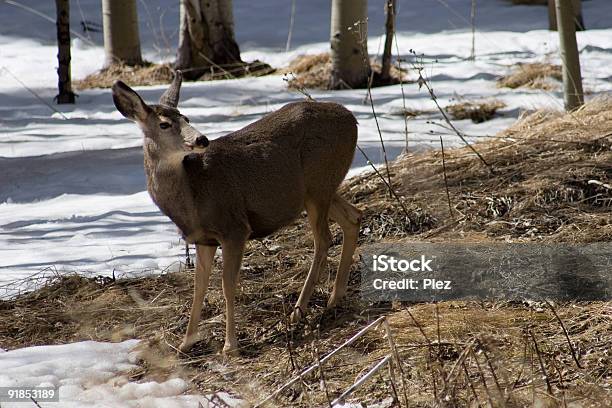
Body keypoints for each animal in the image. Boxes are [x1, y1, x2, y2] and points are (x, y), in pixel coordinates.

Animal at [112, 71, 360, 356]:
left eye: (186, 118)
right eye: (164, 124)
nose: (201, 140)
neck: (193, 198)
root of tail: (352, 119)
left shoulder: (234, 228)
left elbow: (227, 285)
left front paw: (230, 345)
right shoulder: (203, 239)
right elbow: (199, 287)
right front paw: (186, 342)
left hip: (318, 184)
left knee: (324, 239)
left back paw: (299, 310)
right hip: (320, 189)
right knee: (353, 217)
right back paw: (335, 297)